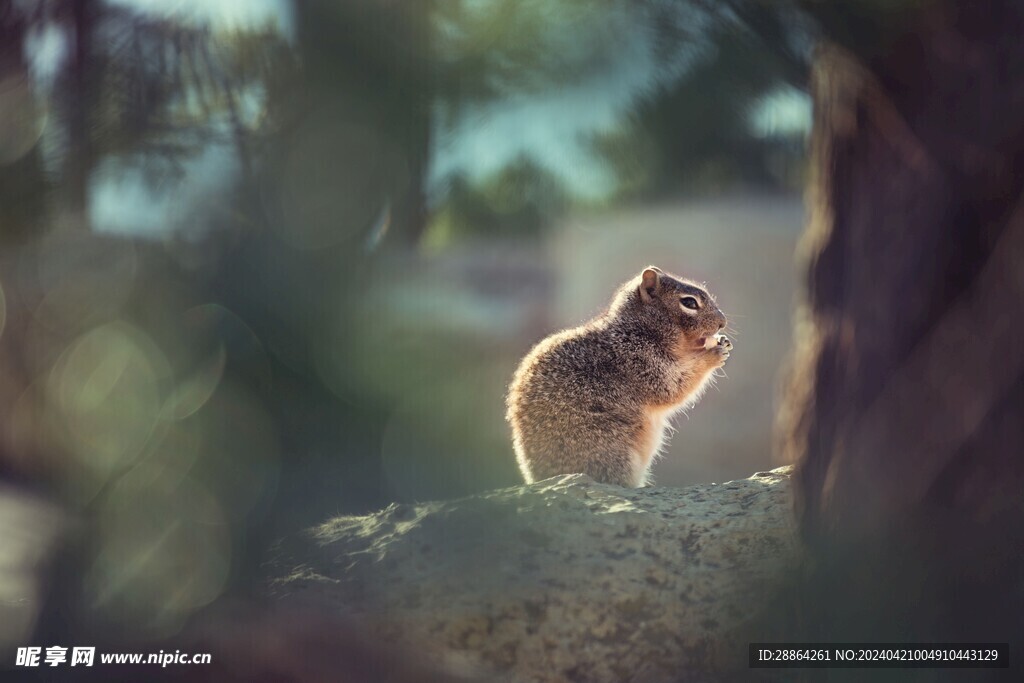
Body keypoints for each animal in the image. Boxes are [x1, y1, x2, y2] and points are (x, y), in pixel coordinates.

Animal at [503, 266, 729, 485]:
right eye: (689, 302)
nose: (723, 322)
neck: (638, 329)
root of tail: (538, 476)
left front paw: (722, 342)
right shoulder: (640, 361)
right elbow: (673, 387)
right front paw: (713, 354)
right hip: (610, 448)